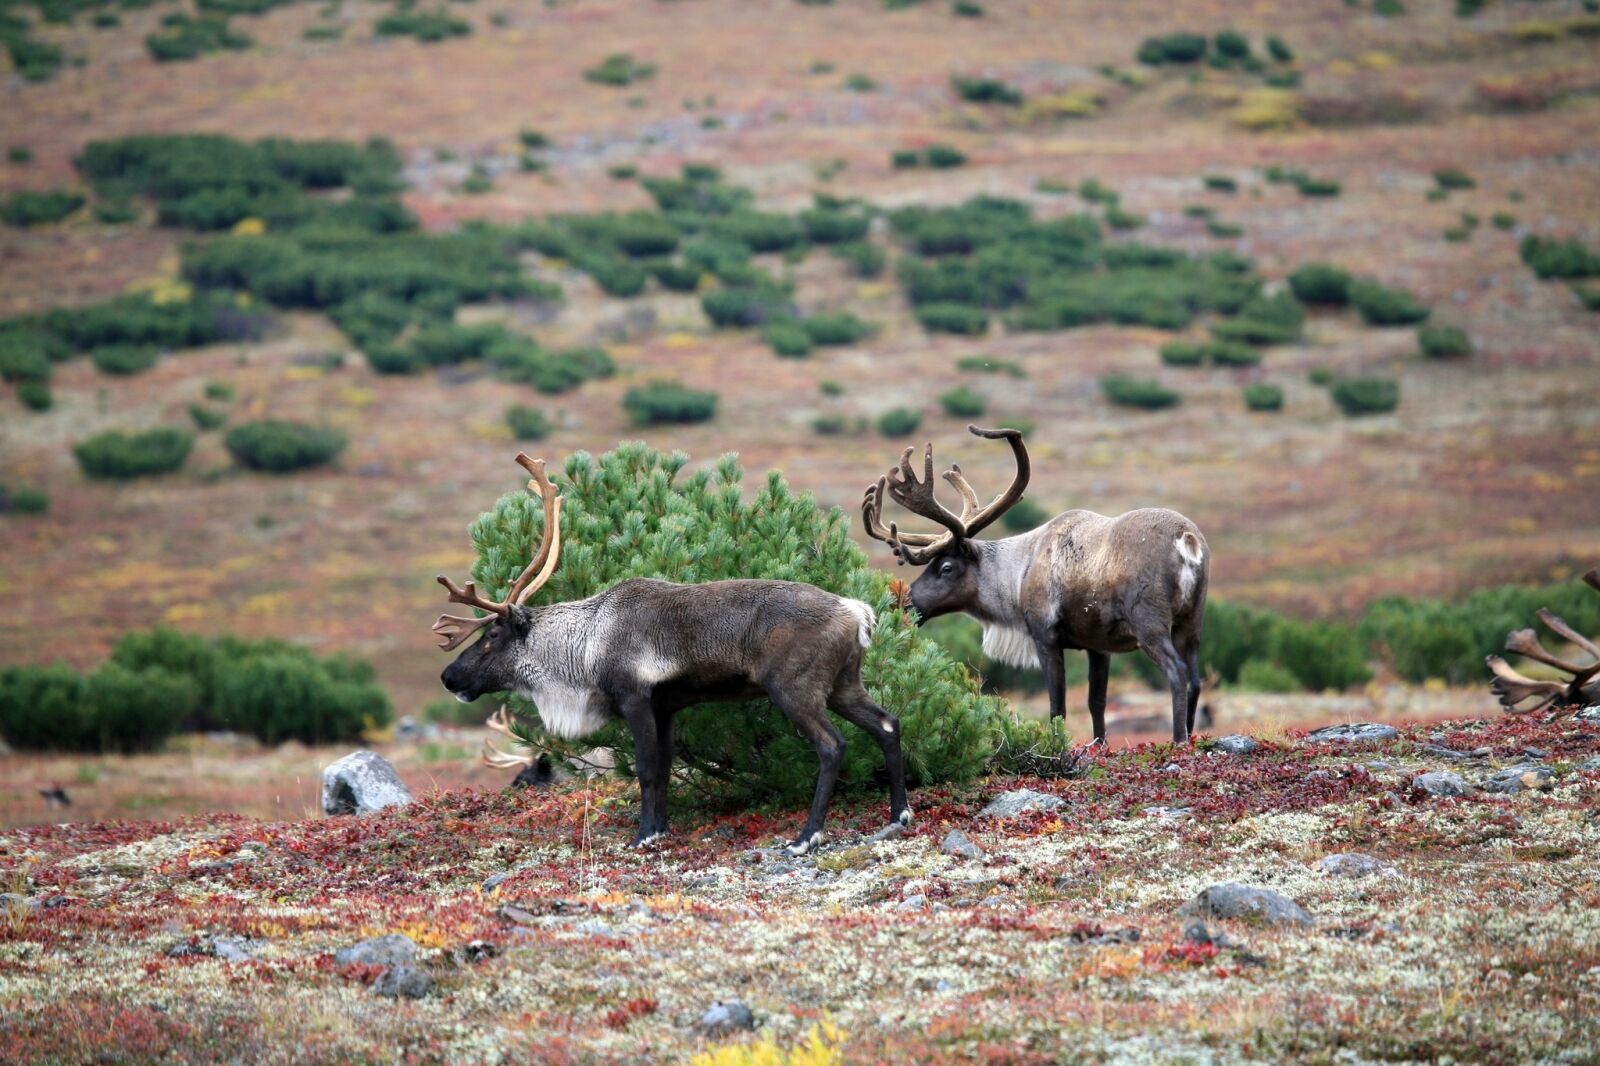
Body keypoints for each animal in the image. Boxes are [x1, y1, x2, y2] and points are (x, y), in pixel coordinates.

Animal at [434, 453, 911, 855]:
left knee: (832, 745)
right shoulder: (667, 706)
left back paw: (806, 836)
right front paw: (661, 829)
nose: (448, 676)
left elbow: (645, 769)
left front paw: (643, 836)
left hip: (796, 688)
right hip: (844, 684)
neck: (586, 646)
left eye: (493, 634)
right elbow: (664, 769)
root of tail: (858, 612)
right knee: (888, 724)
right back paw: (897, 815)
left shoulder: (635, 697)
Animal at [862, 425, 1209, 745]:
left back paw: (1178, 739)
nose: (904, 603)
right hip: (1191, 623)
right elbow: (1096, 702)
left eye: (946, 567)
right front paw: (1098, 745)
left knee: (1177, 672)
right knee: (1195, 678)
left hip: (1149, 622)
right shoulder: (1098, 644)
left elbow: (1057, 707)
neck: (1017, 576)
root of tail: (1187, 540)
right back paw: (1192, 736)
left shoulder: (1045, 635)